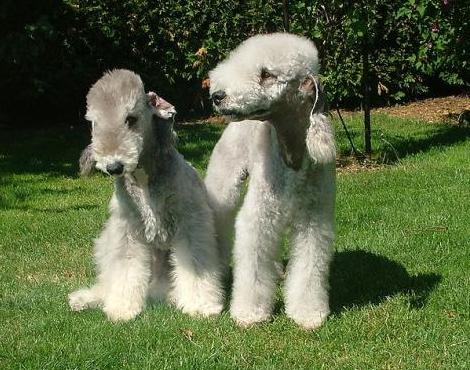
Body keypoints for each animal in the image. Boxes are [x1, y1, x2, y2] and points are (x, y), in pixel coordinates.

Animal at [69, 69, 225, 320]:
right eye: (93, 122)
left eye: (130, 119)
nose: (114, 167)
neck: (144, 178)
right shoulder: (127, 230)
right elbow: (124, 269)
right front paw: (122, 308)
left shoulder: (190, 223)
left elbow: (195, 262)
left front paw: (201, 305)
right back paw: (86, 298)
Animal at [205, 33, 334, 330]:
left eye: (267, 74)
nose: (218, 96)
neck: (292, 154)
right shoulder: (259, 216)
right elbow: (252, 265)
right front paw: (249, 313)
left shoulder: (314, 219)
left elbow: (310, 266)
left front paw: (308, 313)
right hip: (224, 183)